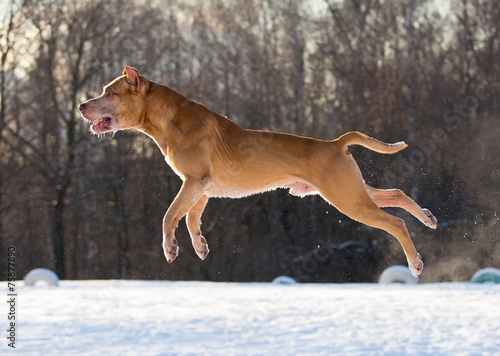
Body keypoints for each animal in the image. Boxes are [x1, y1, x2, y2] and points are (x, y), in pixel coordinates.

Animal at [80, 67, 436, 278]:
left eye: (109, 93)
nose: (82, 105)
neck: (169, 119)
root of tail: (336, 143)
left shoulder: (193, 182)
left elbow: (169, 216)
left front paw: (170, 249)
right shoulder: (200, 187)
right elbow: (191, 217)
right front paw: (200, 246)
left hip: (348, 199)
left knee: (395, 222)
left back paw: (415, 263)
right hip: (352, 189)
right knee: (396, 194)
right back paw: (429, 218)